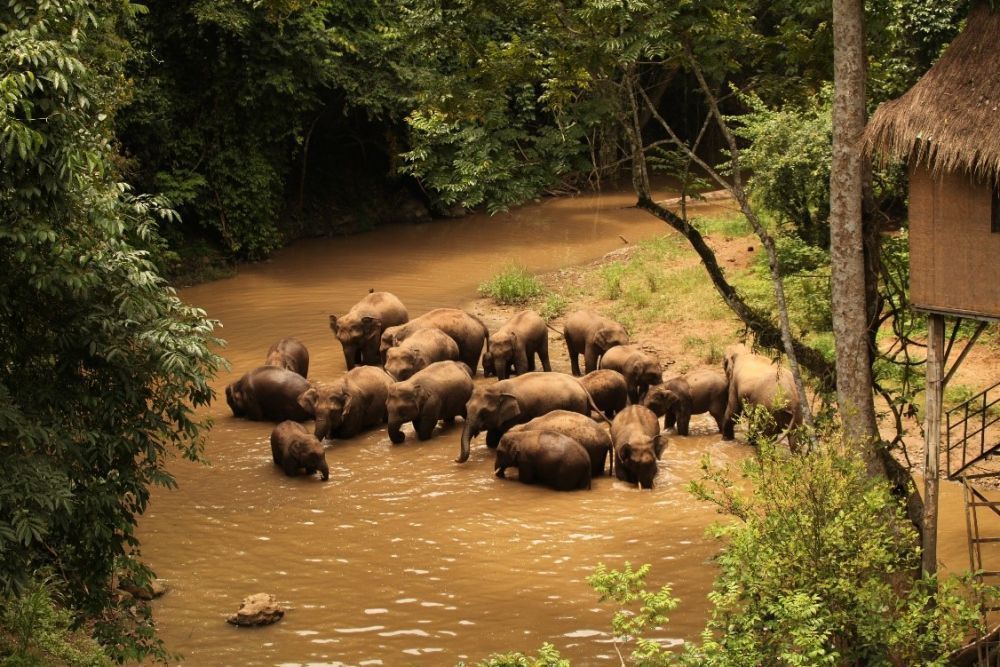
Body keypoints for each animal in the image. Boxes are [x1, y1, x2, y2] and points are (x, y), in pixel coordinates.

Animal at [456, 370, 596, 464]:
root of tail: (581, 385)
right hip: (583, 405)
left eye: (483, 413)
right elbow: (490, 440)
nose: (455, 459)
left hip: (577, 404)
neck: (497, 389)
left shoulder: (517, 414)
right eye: (466, 407)